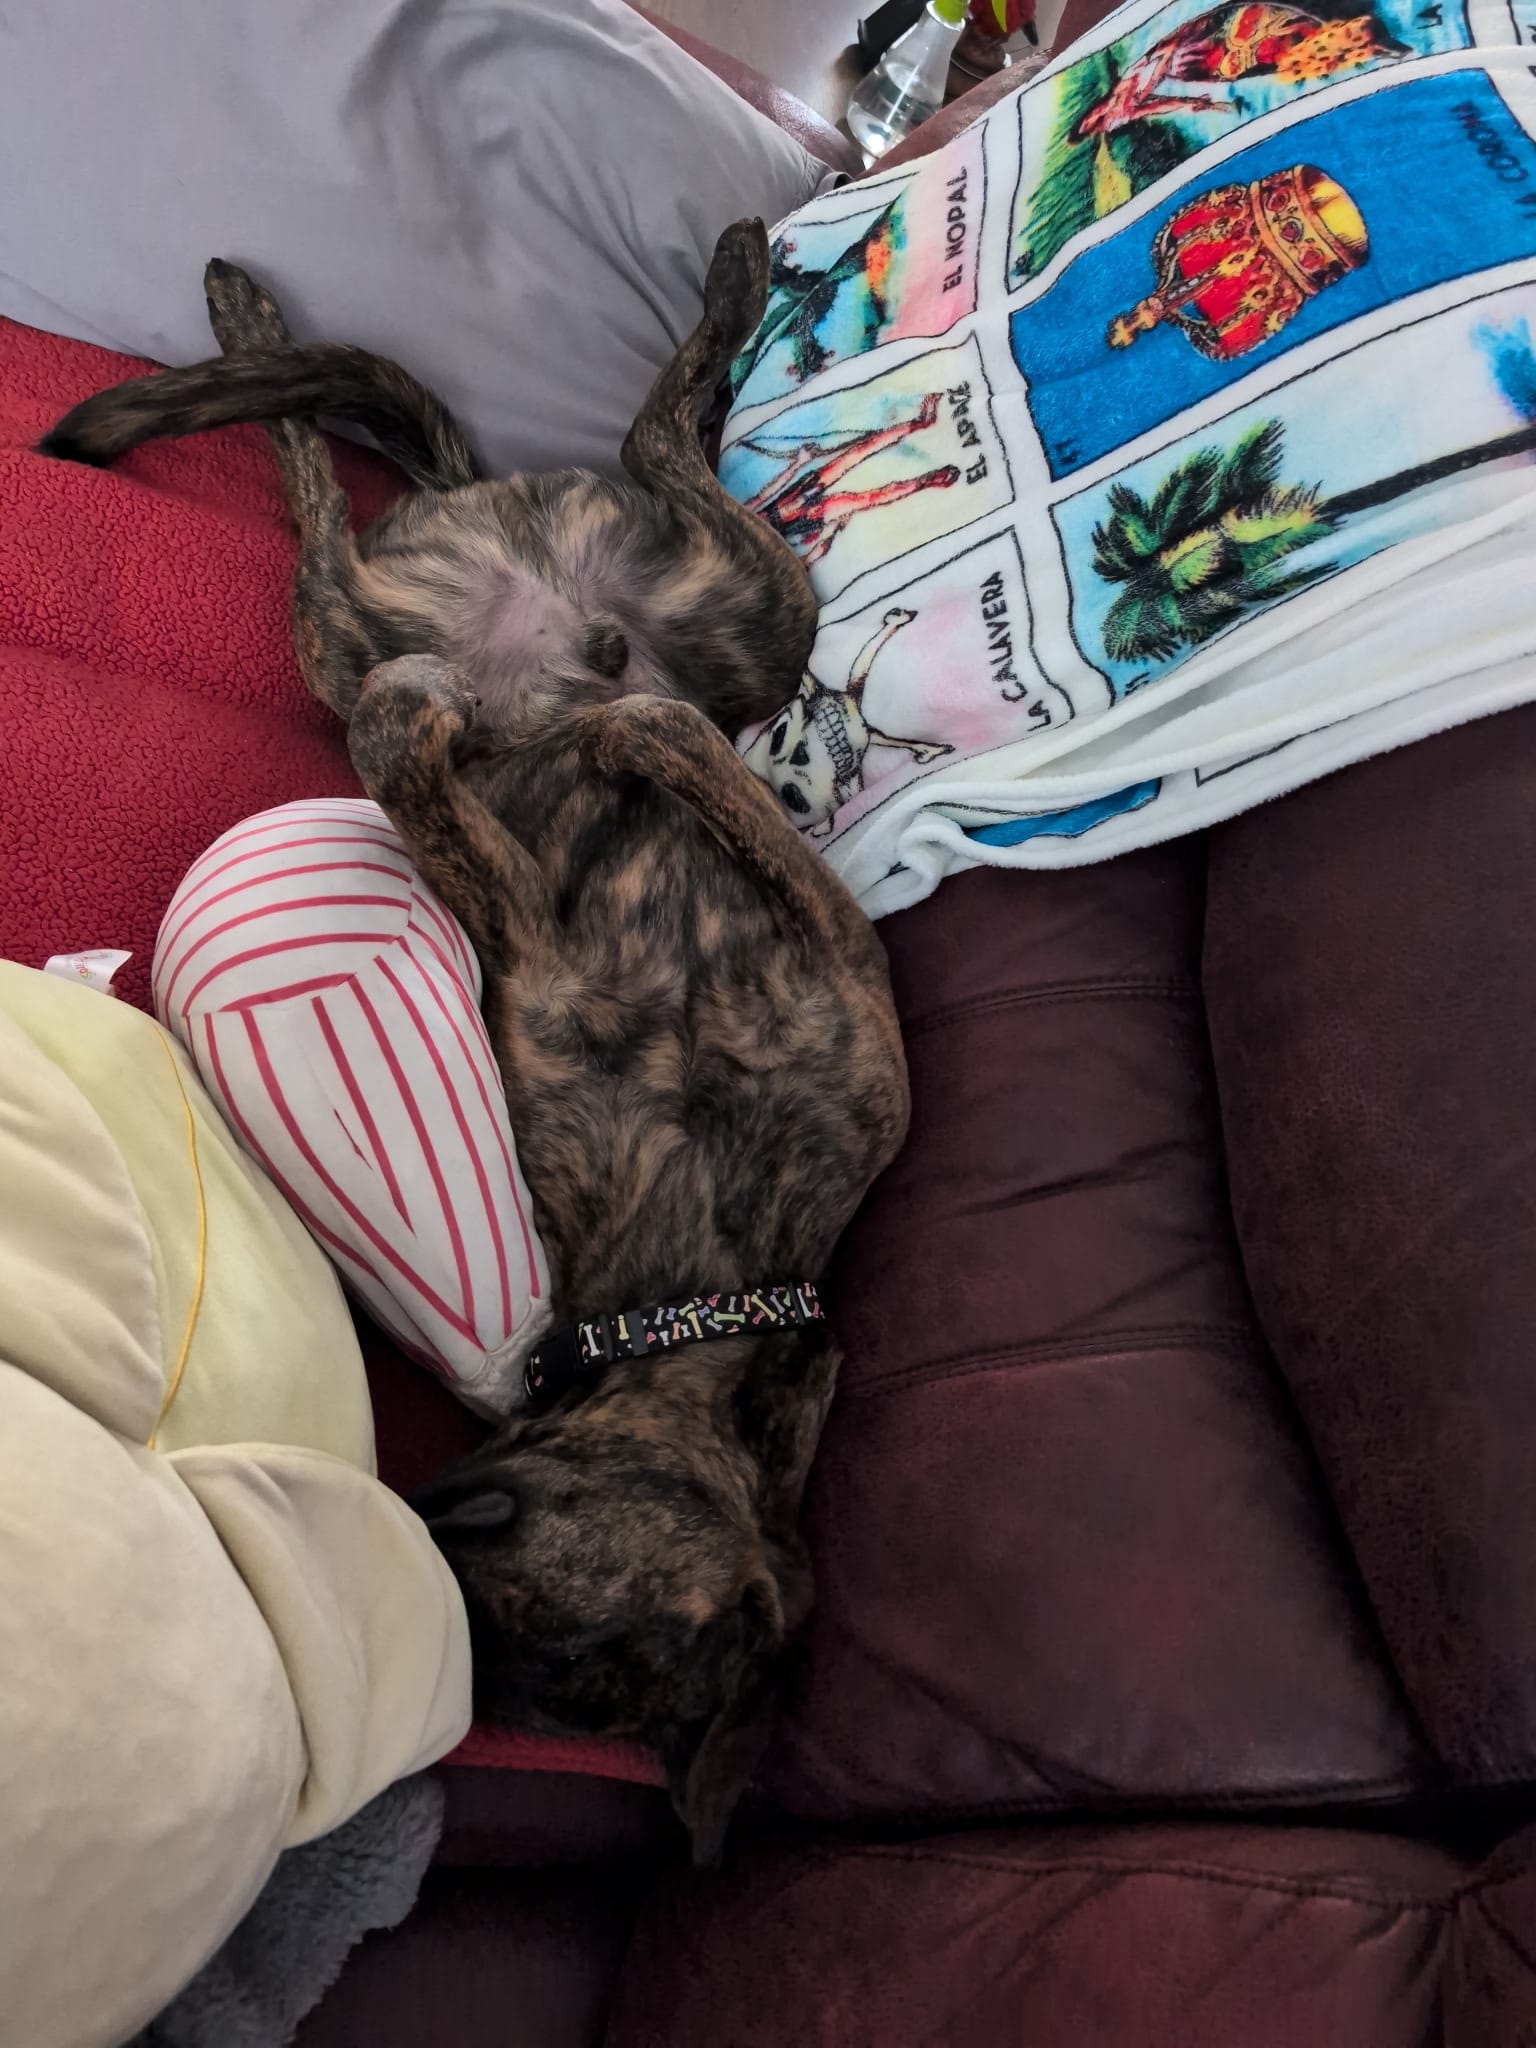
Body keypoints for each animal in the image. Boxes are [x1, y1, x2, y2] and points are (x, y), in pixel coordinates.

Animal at [41, 222, 910, 1864]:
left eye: (521, 1649)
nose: (419, 1515)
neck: (706, 1272)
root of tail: (509, 560)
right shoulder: (844, 980)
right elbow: (715, 786)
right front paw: (625, 742)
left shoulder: (538, 952)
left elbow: (435, 779)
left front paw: (521, 741)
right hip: (747, 615)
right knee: (569, 453)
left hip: (396, 623)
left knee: (342, 502)